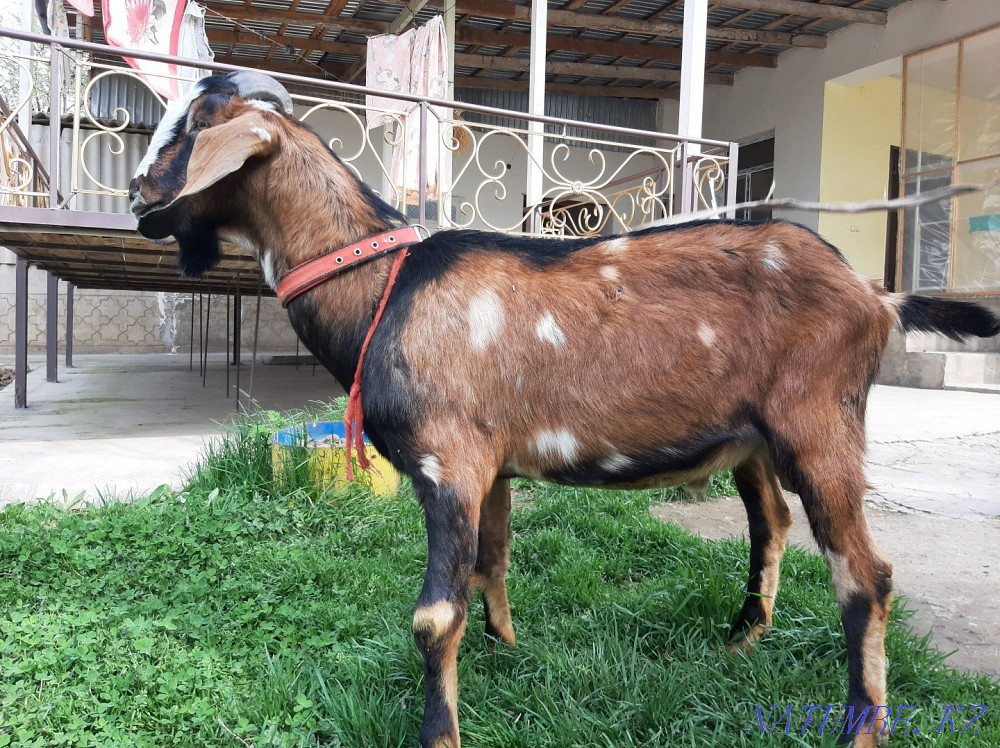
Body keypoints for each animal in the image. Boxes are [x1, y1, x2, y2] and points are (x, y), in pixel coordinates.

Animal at [129, 71, 1000, 748]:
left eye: (191, 128)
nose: (138, 196)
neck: (386, 286)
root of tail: (876, 295)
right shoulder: (490, 467)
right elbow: (492, 562)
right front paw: (507, 653)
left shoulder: (448, 463)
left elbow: (432, 615)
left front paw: (440, 731)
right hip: (753, 438)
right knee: (772, 523)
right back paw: (739, 642)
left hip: (820, 426)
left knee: (866, 577)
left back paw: (861, 726)